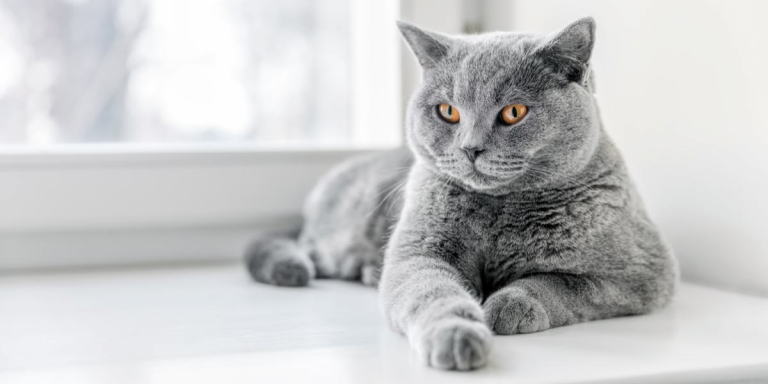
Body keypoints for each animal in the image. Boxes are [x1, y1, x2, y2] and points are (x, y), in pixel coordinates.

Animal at [243, 18, 676, 372]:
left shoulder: (642, 275)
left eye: (514, 112)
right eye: (448, 111)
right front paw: (457, 336)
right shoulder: (418, 253)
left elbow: (563, 283)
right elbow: (432, 293)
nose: (470, 148)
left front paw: (508, 304)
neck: (501, 210)